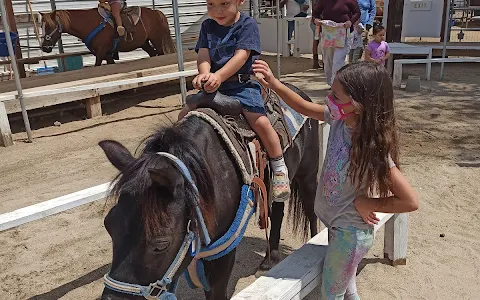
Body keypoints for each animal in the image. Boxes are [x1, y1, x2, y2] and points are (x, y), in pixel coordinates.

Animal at [39, 9, 174, 66]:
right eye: (41, 26)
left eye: (51, 26)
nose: (44, 47)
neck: (90, 23)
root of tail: (156, 12)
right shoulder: (106, 54)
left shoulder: (101, 52)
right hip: (144, 43)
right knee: (153, 54)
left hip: (157, 41)